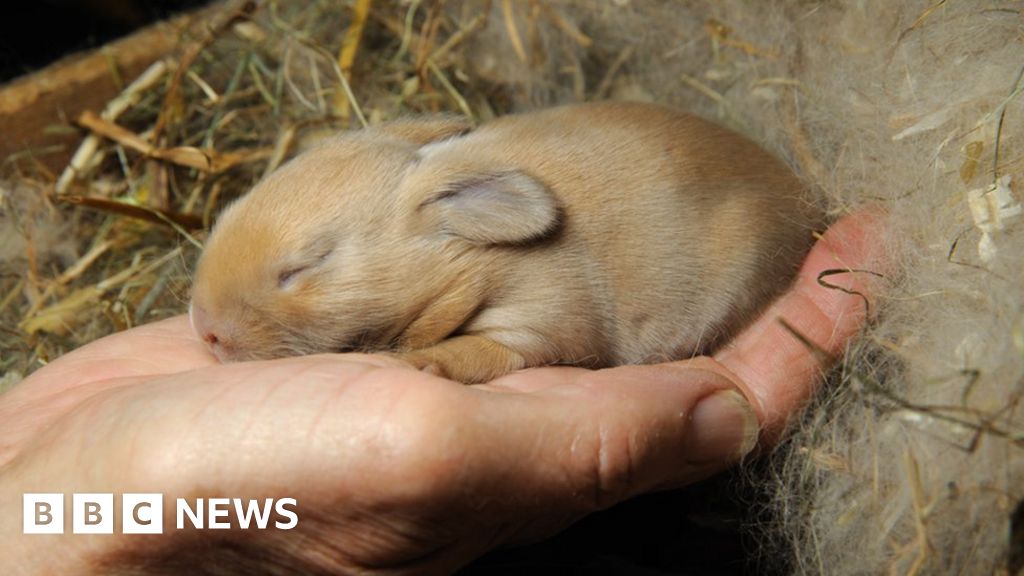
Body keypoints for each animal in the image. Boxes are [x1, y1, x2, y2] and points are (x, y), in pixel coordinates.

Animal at [188, 103, 819, 381]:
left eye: (302, 268)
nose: (205, 330)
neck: (469, 254)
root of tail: (802, 196)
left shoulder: (537, 319)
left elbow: (489, 350)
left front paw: (424, 362)